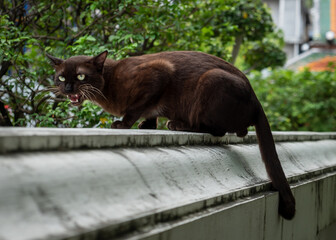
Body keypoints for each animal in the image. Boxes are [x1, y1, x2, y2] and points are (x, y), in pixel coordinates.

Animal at [46, 50, 294, 219]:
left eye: (80, 77)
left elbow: (135, 109)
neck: (108, 85)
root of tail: (256, 99)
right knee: (237, 131)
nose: (67, 89)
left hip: (210, 80)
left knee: (219, 129)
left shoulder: (158, 73)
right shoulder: (153, 101)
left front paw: (123, 124)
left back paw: (177, 124)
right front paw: (146, 126)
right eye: (61, 77)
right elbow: (148, 115)